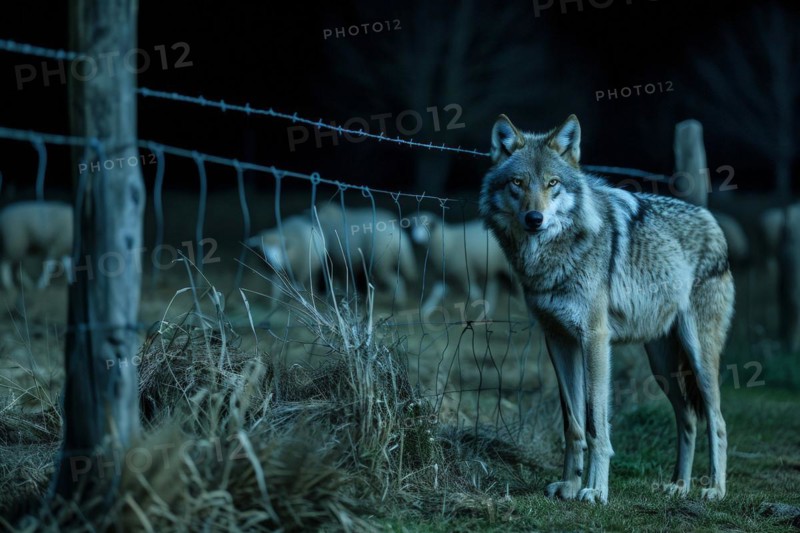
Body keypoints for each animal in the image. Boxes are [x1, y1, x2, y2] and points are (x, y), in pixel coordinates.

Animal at [479, 114, 734, 504]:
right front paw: (569, 485)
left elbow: (596, 425)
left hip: (699, 356)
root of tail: (709, 217)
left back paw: (714, 489)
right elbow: (573, 425)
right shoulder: (558, 340)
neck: (552, 260)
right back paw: (678, 485)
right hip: (661, 365)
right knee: (688, 418)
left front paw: (595, 490)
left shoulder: (595, 340)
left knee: (717, 420)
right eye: (517, 183)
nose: (535, 218)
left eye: (552, 183)